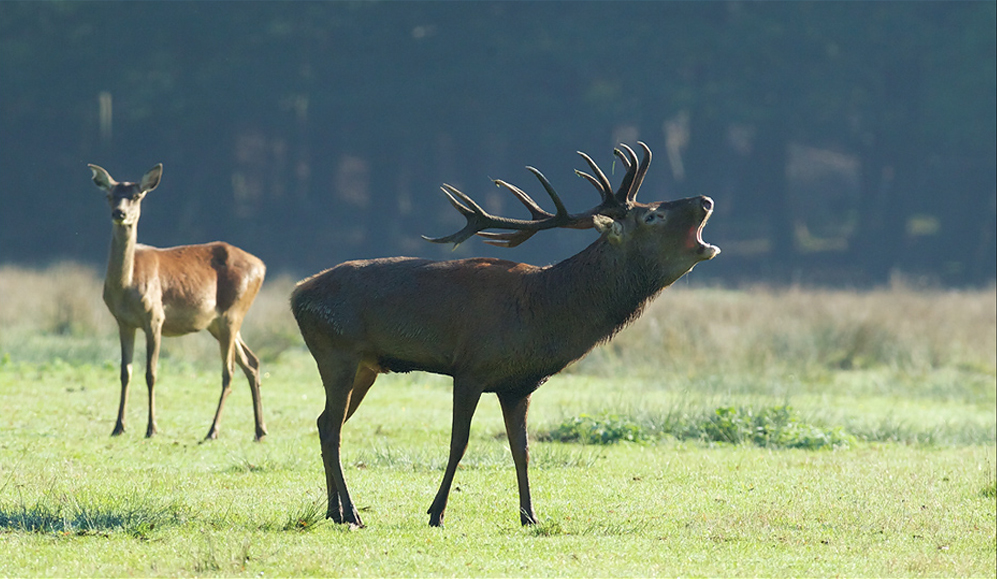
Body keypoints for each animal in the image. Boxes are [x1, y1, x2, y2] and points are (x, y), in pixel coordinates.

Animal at [88, 163, 267, 441]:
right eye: (109, 195)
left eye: (136, 196)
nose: (120, 213)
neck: (126, 286)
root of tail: (262, 266)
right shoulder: (123, 322)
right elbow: (125, 372)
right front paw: (118, 426)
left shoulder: (155, 317)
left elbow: (151, 373)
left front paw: (152, 428)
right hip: (218, 323)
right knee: (252, 362)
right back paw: (260, 431)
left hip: (233, 312)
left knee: (229, 371)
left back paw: (212, 431)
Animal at [290, 142, 719, 527]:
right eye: (653, 215)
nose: (706, 199)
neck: (541, 315)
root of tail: (297, 295)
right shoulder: (470, 368)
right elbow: (459, 442)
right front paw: (436, 513)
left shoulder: (518, 386)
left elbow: (522, 449)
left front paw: (530, 515)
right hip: (336, 351)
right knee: (331, 428)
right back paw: (352, 512)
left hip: (366, 366)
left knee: (325, 422)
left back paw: (334, 511)